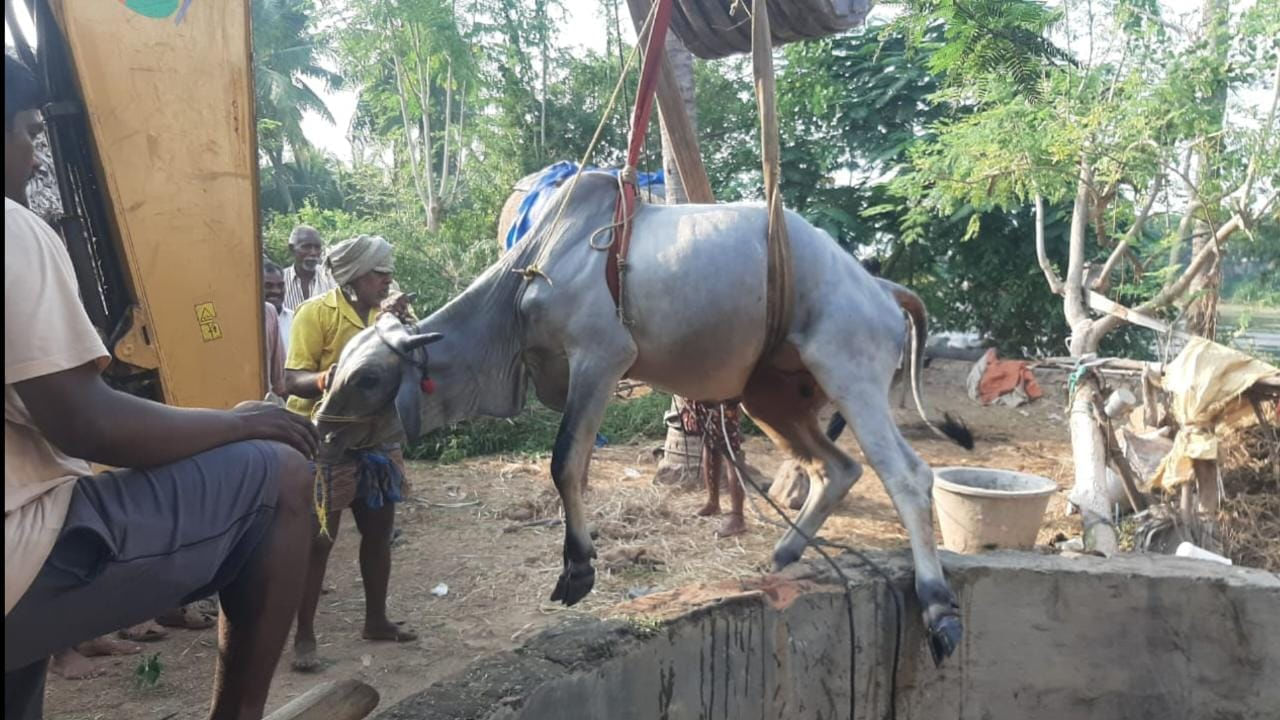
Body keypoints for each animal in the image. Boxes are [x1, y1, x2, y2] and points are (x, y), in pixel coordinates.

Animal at [317, 172, 967, 661]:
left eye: (368, 378)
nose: (322, 429)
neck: (525, 285)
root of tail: (881, 287)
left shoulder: (601, 357)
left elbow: (564, 462)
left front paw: (579, 569)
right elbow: (573, 465)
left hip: (849, 374)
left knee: (907, 475)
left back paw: (937, 602)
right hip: (771, 398)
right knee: (837, 469)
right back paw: (783, 554)